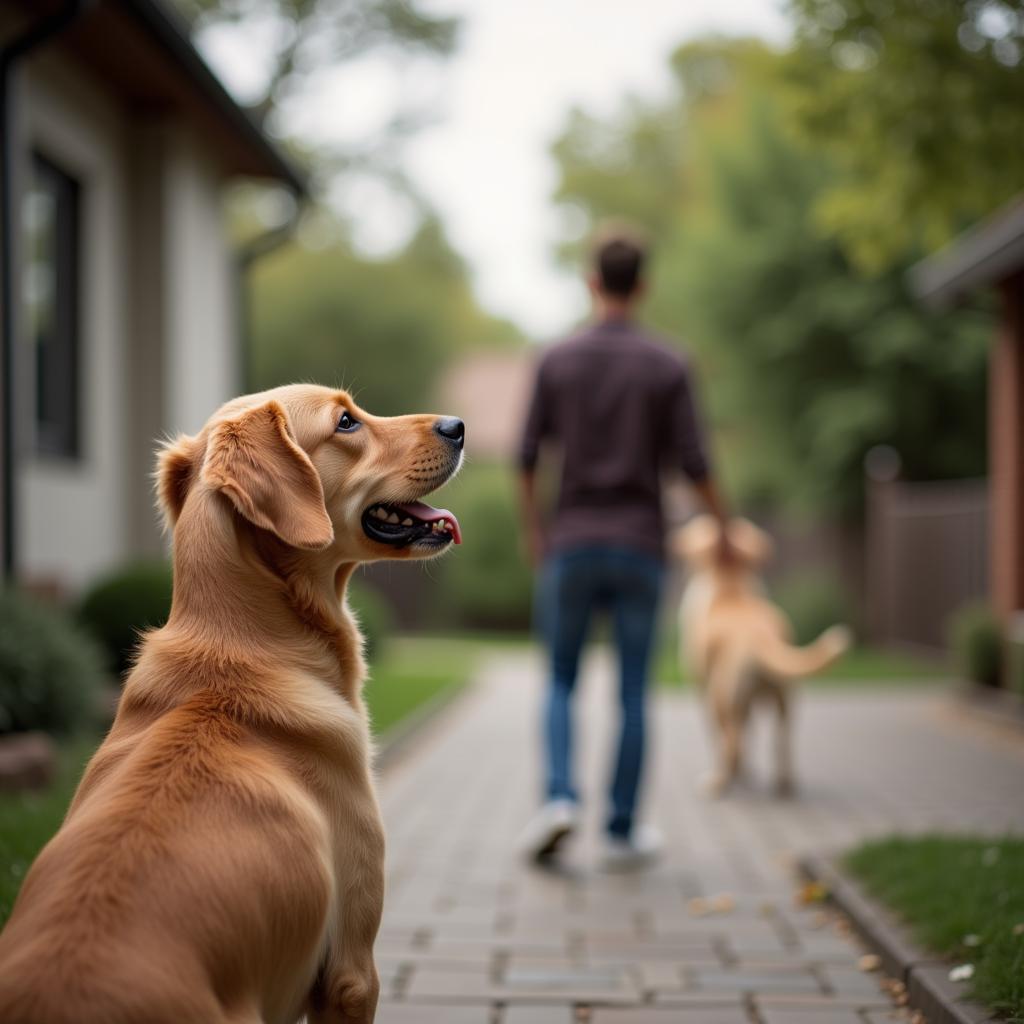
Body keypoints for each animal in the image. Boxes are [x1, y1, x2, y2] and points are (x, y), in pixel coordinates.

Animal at [675, 516, 851, 794]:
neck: (729, 585)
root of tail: (759, 637)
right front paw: (748, 772)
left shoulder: (701, 689)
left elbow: (721, 738)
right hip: (784, 701)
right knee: (781, 742)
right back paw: (783, 784)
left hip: (721, 698)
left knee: (732, 745)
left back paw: (717, 782)